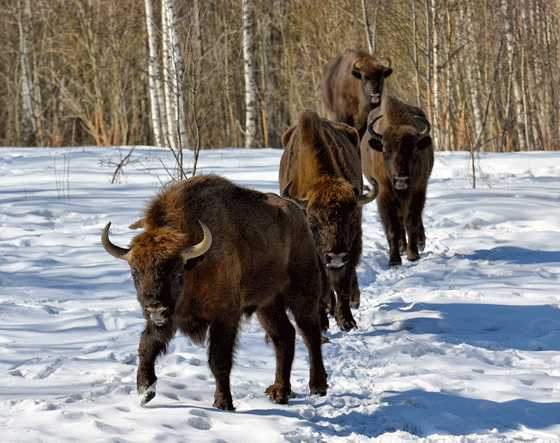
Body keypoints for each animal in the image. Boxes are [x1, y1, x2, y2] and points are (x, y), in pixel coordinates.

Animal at [100, 175, 328, 412]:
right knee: (284, 335)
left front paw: (223, 402)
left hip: (303, 293)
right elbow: (147, 345)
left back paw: (318, 386)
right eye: (135, 272)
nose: (155, 308)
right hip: (267, 304)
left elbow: (218, 360)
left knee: (310, 333)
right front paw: (145, 392)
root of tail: (298, 213)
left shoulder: (224, 317)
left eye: (177, 272)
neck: (196, 264)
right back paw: (279, 391)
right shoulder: (169, 318)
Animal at [278, 111, 376, 332]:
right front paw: (322, 321)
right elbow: (321, 282)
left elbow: (343, 281)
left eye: (352, 218)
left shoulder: (352, 244)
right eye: (313, 221)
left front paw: (347, 321)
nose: (336, 256)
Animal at [360, 96, 436, 268]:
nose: (401, 180)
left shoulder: (418, 190)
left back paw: (419, 243)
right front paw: (394, 259)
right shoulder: (384, 195)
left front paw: (413, 254)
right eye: (385, 150)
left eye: (414, 150)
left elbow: (412, 222)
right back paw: (401, 247)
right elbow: (392, 228)